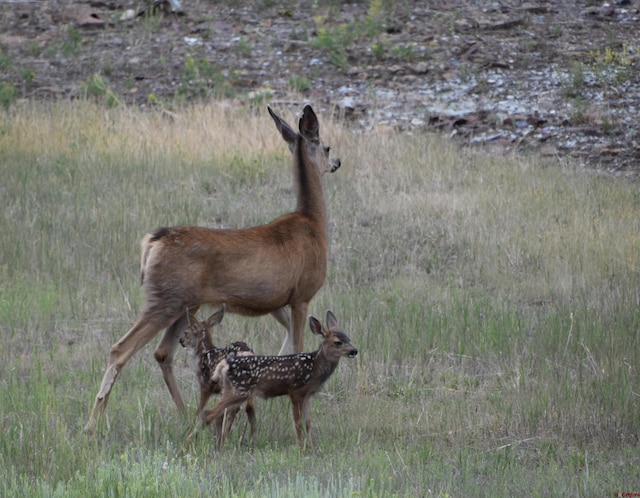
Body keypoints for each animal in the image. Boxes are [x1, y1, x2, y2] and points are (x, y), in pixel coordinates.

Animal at [87, 105, 342, 432]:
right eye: (327, 146)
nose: (337, 162)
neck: (312, 223)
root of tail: (153, 241)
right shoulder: (301, 294)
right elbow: (297, 344)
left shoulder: (273, 300)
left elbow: (284, 344)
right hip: (166, 298)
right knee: (120, 349)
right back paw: (92, 424)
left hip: (186, 303)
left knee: (162, 352)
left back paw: (185, 414)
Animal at [192, 312, 358, 448]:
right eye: (338, 342)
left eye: (349, 338)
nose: (354, 350)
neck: (314, 367)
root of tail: (225, 364)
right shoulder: (296, 391)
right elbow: (298, 423)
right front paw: (301, 449)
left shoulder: (307, 395)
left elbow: (308, 422)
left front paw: (312, 449)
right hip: (240, 390)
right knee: (209, 413)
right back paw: (190, 443)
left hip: (231, 389)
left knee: (218, 414)